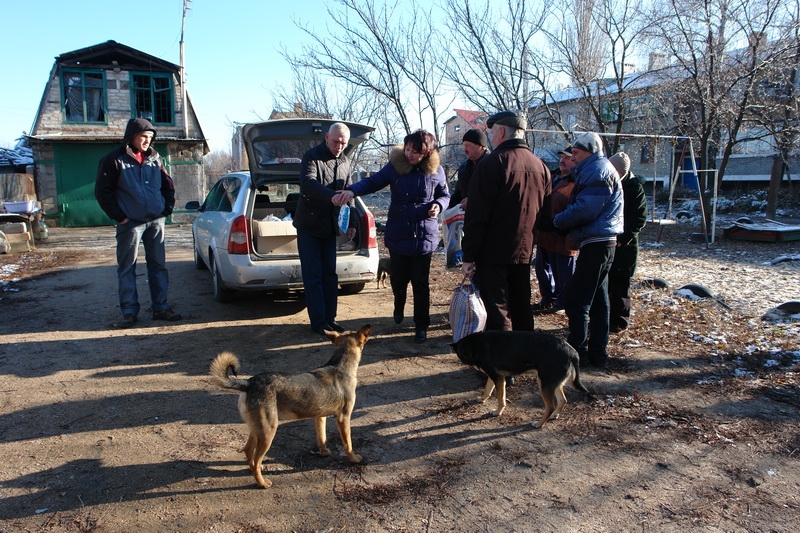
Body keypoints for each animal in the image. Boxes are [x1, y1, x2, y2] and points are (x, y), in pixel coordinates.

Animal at [206, 322, 368, 488]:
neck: (340, 366)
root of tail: (249, 383)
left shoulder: (320, 417)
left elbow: (321, 438)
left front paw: (324, 453)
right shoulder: (343, 418)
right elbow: (348, 444)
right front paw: (354, 459)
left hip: (257, 429)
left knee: (248, 451)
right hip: (268, 431)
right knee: (255, 461)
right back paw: (262, 483)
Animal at [454, 328, 592, 428]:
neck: (475, 344)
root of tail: (572, 351)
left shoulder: (498, 377)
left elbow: (500, 399)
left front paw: (497, 412)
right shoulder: (495, 377)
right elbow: (487, 390)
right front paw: (482, 399)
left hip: (544, 383)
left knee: (550, 406)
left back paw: (539, 424)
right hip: (553, 383)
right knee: (563, 400)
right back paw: (554, 415)